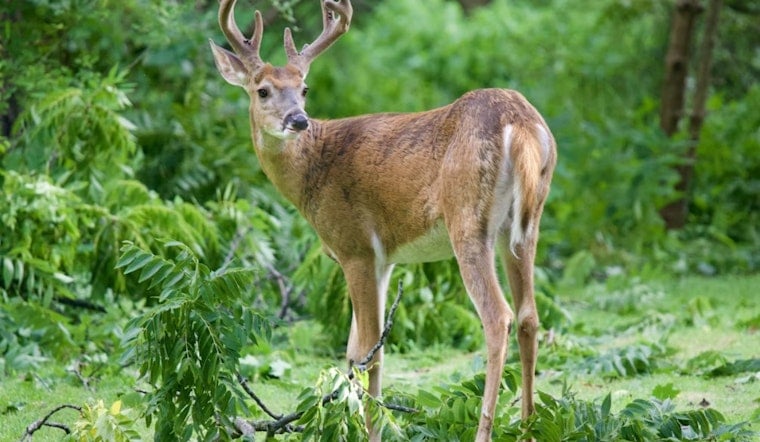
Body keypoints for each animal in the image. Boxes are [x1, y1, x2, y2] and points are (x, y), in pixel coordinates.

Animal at [209, 0, 556, 440]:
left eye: (304, 89)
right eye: (263, 90)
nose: (299, 120)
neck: (313, 170)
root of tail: (522, 123)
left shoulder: (354, 247)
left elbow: (368, 349)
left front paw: (370, 430)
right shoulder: (385, 258)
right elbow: (361, 350)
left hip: (467, 220)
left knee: (498, 317)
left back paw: (485, 429)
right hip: (526, 222)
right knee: (529, 316)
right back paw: (528, 425)